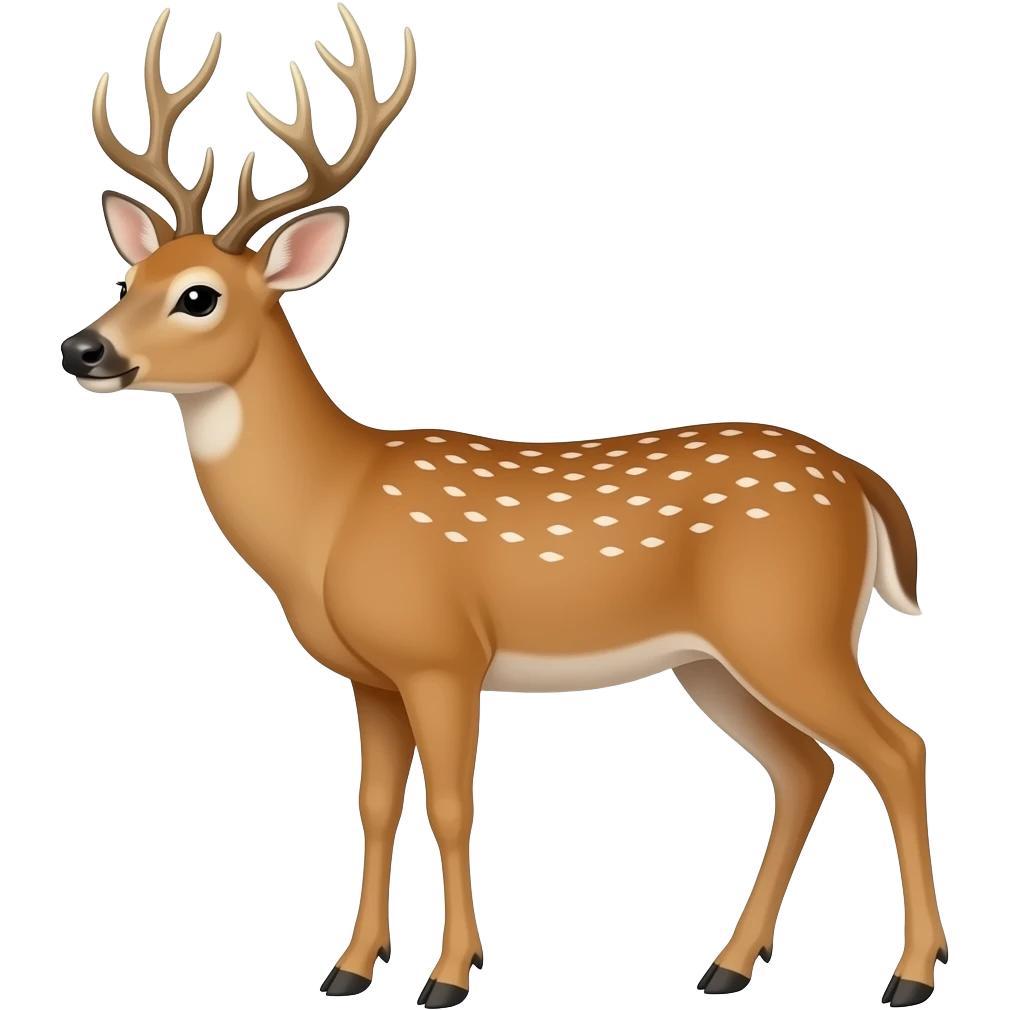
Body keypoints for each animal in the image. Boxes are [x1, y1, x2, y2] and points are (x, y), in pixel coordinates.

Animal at [59, 7, 946, 1008]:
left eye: (198, 297)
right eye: (128, 280)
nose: (81, 349)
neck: (332, 509)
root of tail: (863, 481)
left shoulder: (442, 652)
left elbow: (451, 805)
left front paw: (449, 975)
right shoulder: (371, 674)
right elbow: (374, 805)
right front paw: (350, 969)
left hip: (791, 625)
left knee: (896, 748)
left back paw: (911, 974)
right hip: (715, 659)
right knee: (805, 769)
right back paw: (726, 966)